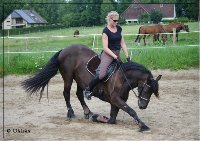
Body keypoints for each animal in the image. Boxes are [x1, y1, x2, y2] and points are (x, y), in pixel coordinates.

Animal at [21, 45, 162, 132]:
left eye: (152, 92)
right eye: (146, 89)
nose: (143, 106)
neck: (122, 77)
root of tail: (64, 49)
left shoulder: (116, 102)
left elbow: (112, 119)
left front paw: (98, 117)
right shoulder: (115, 99)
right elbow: (131, 111)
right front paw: (143, 126)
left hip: (80, 80)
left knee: (79, 94)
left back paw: (87, 112)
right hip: (68, 78)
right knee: (66, 93)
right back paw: (71, 113)